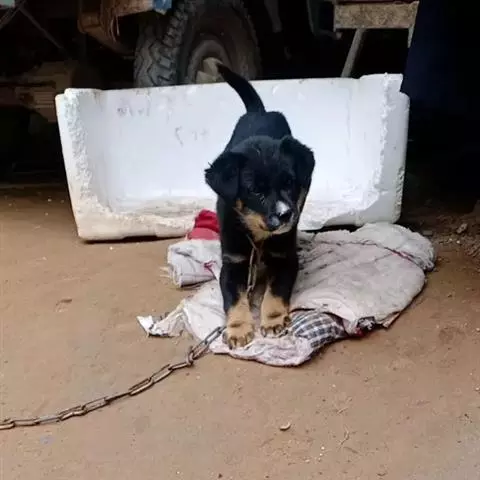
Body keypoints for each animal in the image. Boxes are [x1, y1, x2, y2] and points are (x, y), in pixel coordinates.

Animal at [204, 64, 315, 349]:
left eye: (289, 183)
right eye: (256, 191)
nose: (286, 215)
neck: (258, 235)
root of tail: (260, 112)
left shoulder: (285, 258)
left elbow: (275, 292)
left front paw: (273, 321)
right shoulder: (232, 263)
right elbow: (234, 299)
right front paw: (238, 329)